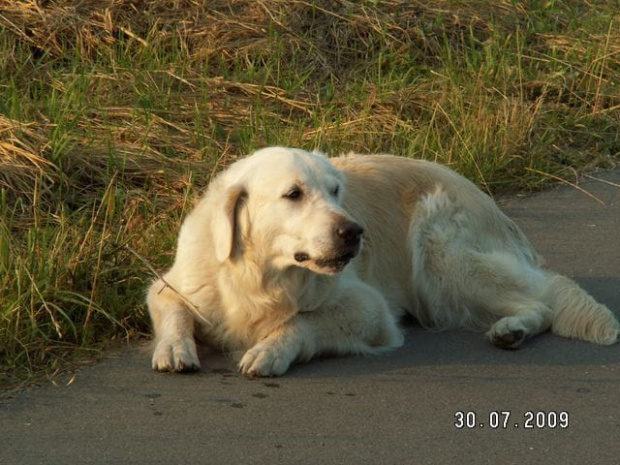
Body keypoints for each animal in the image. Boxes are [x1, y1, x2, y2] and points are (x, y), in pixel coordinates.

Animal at [147, 147, 620, 376]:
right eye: (293, 194)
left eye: (336, 190)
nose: (353, 232)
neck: (260, 277)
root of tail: (485, 197)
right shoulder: (172, 285)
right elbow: (172, 310)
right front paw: (174, 347)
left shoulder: (371, 310)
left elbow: (301, 321)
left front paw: (270, 349)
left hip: (441, 255)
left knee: (545, 298)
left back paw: (512, 329)